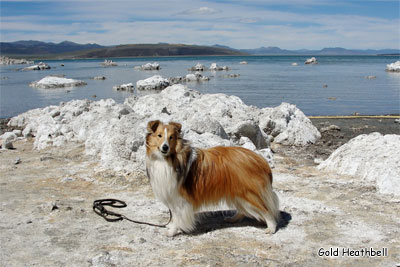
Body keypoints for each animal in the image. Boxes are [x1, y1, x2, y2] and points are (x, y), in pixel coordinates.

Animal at [145, 120, 280, 238]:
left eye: (171, 137)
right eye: (159, 135)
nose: (165, 147)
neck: (169, 159)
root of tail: (260, 159)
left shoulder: (180, 199)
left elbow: (178, 218)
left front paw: (172, 231)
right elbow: (174, 216)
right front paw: (171, 227)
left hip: (249, 192)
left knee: (267, 211)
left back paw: (271, 228)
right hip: (238, 192)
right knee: (244, 210)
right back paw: (233, 219)